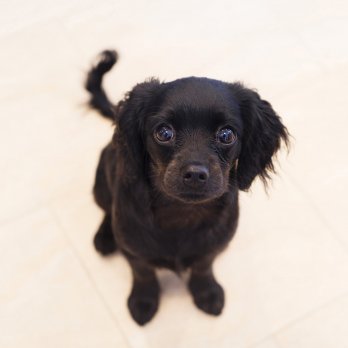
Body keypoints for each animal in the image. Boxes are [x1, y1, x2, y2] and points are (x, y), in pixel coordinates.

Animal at [84, 50, 288, 324]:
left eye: (227, 135)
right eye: (164, 132)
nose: (195, 174)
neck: (181, 213)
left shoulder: (213, 247)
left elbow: (203, 267)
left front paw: (207, 292)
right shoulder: (134, 251)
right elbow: (143, 274)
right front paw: (143, 301)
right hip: (100, 183)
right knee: (107, 209)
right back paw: (105, 236)